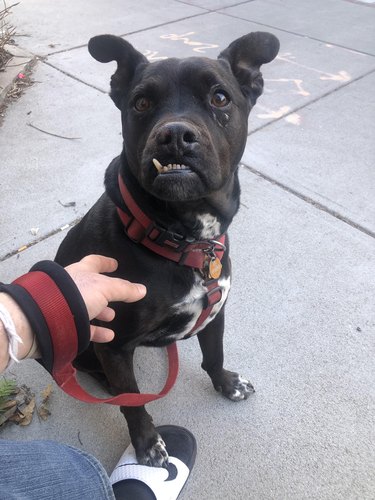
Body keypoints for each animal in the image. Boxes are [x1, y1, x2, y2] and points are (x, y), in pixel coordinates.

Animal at [55, 32, 280, 464]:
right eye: (141, 103)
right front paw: (147, 443)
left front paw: (226, 383)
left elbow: (214, 355)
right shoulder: (114, 344)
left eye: (220, 97)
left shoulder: (216, 313)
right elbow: (133, 403)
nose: (175, 135)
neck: (185, 238)